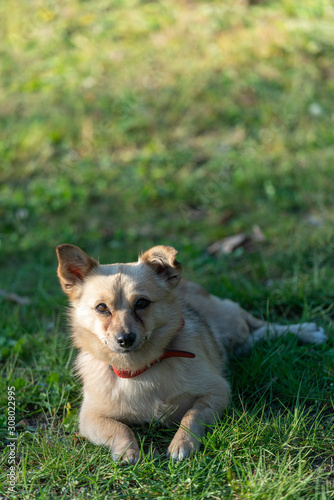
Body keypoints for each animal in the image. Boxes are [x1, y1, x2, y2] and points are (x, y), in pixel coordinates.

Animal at [55, 244, 326, 462]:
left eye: (142, 303)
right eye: (102, 308)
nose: (125, 339)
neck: (142, 368)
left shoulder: (217, 392)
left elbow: (191, 416)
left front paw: (181, 443)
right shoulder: (89, 419)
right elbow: (120, 429)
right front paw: (126, 450)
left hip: (233, 323)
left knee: (266, 327)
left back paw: (307, 332)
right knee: (255, 337)